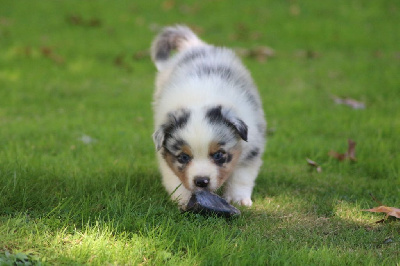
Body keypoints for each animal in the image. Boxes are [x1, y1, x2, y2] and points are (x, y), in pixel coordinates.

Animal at [150, 25, 266, 209]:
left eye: (218, 155)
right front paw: (183, 199)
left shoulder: (251, 146)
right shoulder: (166, 158)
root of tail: (195, 45)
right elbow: (174, 178)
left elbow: (241, 175)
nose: (201, 181)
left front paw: (238, 199)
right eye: (183, 157)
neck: (201, 100)